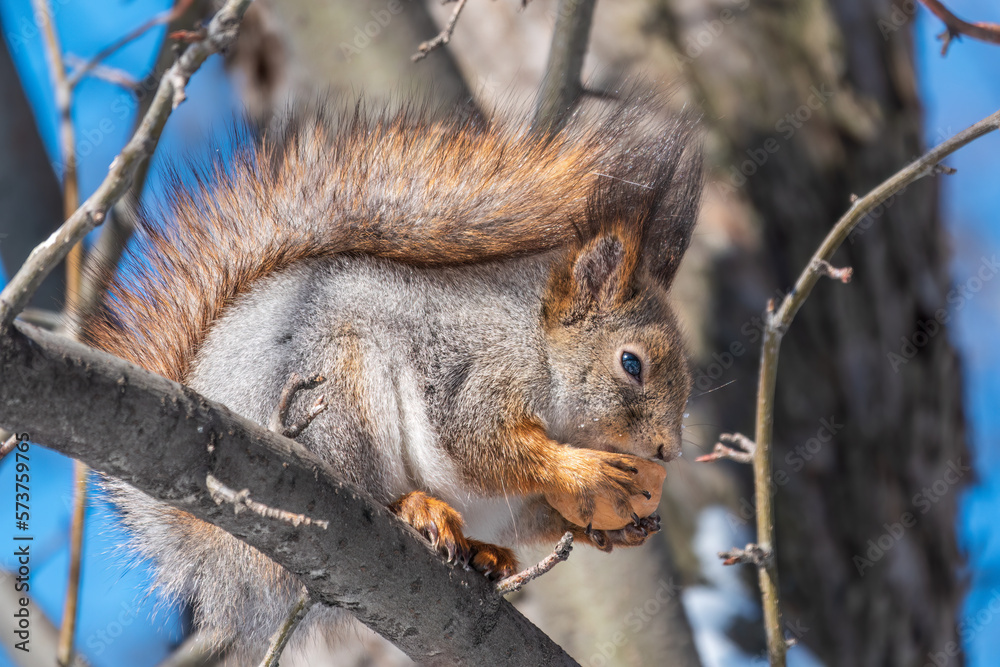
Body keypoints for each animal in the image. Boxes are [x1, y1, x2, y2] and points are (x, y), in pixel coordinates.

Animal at [82, 98, 703, 663]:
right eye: (631, 364)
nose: (667, 451)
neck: (538, 344)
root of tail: (213, 541)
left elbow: (531, 504)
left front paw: (614, 527)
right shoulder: (472, 371)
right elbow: (481, 442)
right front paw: (584, 470)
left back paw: (486, 554)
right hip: (335, 396)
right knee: (369, 483)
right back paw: (416, 508)